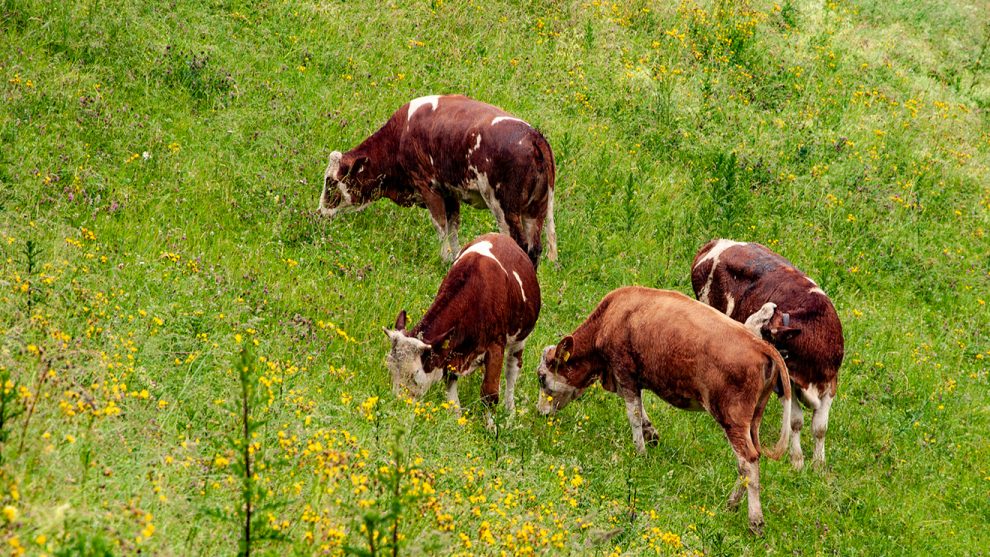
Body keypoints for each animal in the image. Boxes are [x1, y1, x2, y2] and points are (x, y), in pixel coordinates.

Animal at [324, 94, 560, 268]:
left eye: (331, 182)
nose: (320, 213)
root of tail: (533, 136)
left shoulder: (427, 185)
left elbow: (440, 225)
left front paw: (444, 258)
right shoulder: (450, 192)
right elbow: (453, 227)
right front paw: (455, 257)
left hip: (504, 207)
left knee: (519, 244)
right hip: (535, 210)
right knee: (534, 248)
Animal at [388, 231, 544, 426]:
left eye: (415, 374)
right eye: (390, 368)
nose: (398, 405)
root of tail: (499, 235)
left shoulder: (495, 345)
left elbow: (489, 393)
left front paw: (491, 428)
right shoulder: (451, 349)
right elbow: (451, 385)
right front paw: (456, 419)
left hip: (520, 338)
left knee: (512, 370)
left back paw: (510, 412)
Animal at [540, 286, 796, 536]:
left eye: (542, 378)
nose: (541, 413)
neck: (612, 315)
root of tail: (760, 344)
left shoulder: (623, 369)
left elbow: (633, 414)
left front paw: (640, 453)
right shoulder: (626, 377)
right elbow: (639, 409)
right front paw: (651, 434)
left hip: (732, 417)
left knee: (748, 461)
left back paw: (755, 521)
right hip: (753, 420)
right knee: (749, 461)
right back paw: (731, 504)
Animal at [692, 238, 848, 470]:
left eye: (763, 332)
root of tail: (717, 242)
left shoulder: (830, 383)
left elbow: (820, 427)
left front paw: (819, 465)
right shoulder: (785, 383)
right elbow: (796, 422)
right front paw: (797, 461)